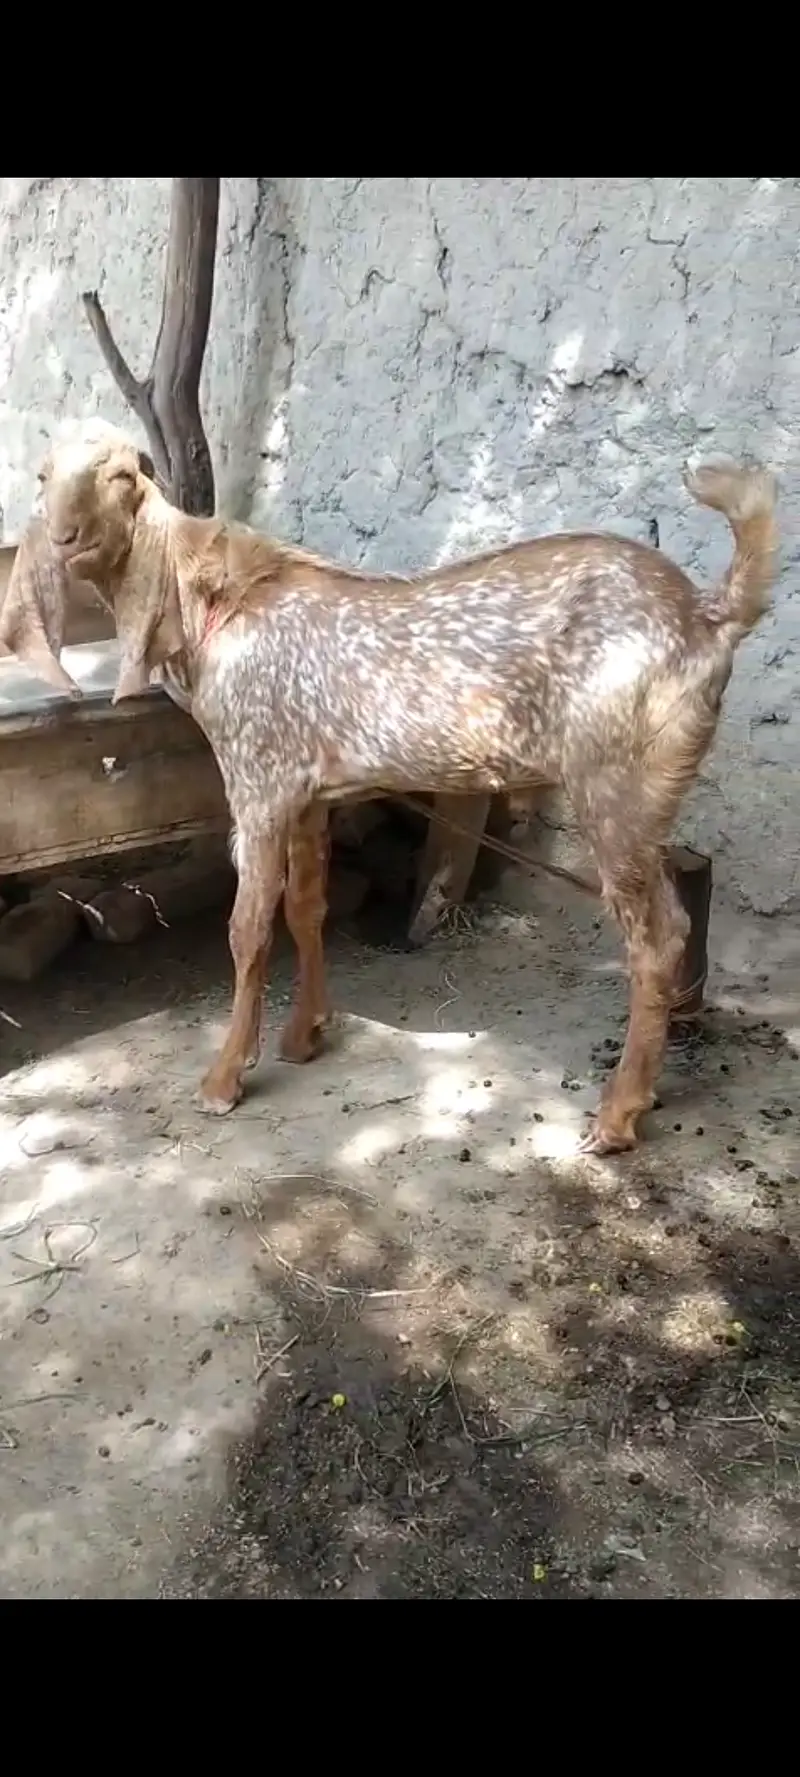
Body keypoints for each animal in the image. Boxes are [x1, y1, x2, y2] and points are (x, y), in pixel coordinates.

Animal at [0, 423, 777, 1154]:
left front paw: (223, 1079)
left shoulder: (258, 778)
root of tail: (709, 617)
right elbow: (306, 909)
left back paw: (616, 1118)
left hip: (616, 780)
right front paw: (305, 1036)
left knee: (659, 935)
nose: (65, 538)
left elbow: (248, 928)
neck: (210, 609)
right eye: (43, 475)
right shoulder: (309, 791)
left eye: (121, 475)